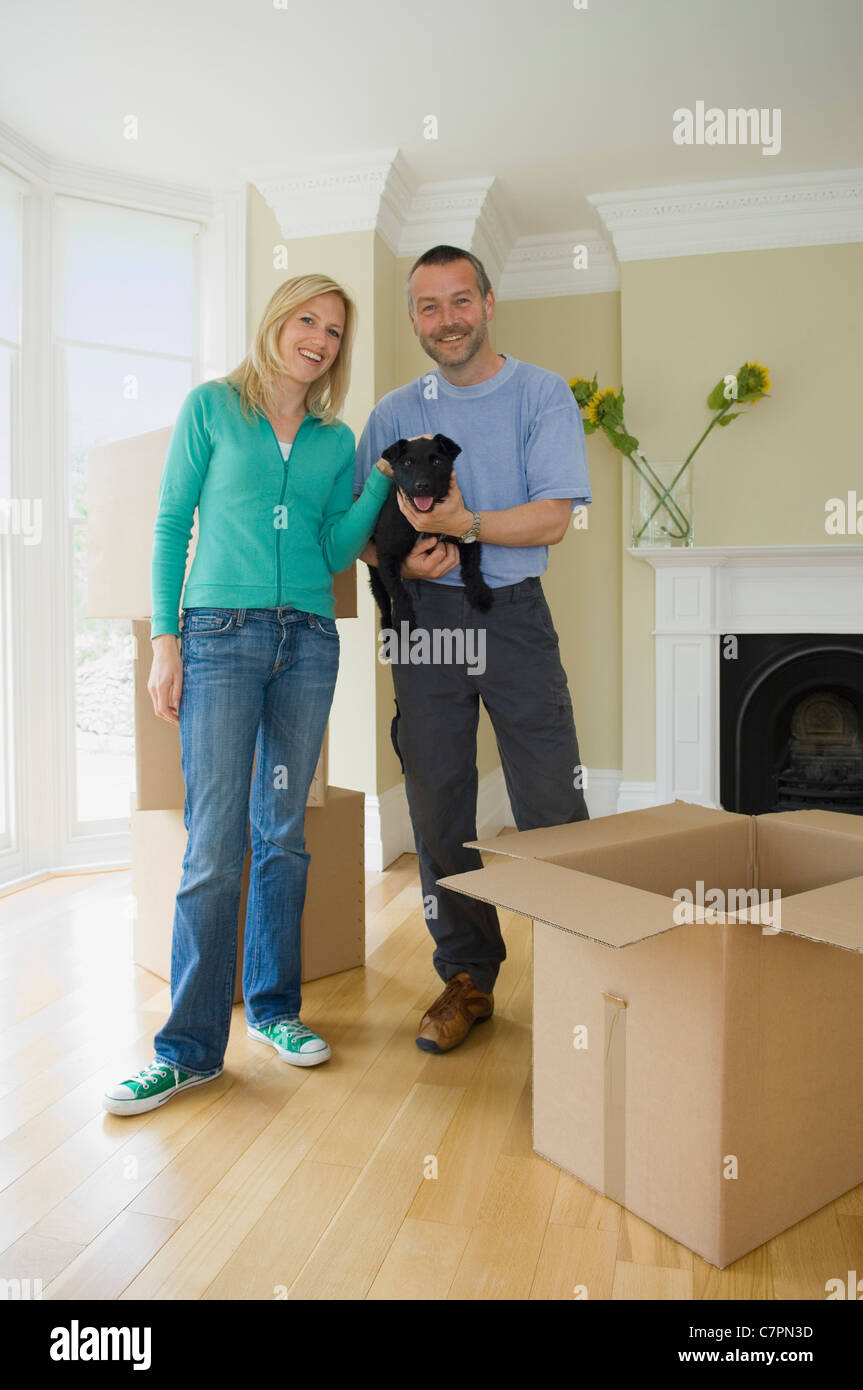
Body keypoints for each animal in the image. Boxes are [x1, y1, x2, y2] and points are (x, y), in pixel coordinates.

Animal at [366, 433, 494, 631]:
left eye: (436, 461)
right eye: (407, 463)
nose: (422, 485)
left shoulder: (465, 532)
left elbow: (472, 567)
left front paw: (480, 594)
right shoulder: (387, 555)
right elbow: (399, 591)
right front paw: (405, 618)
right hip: (376, 579)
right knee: (385, 608)